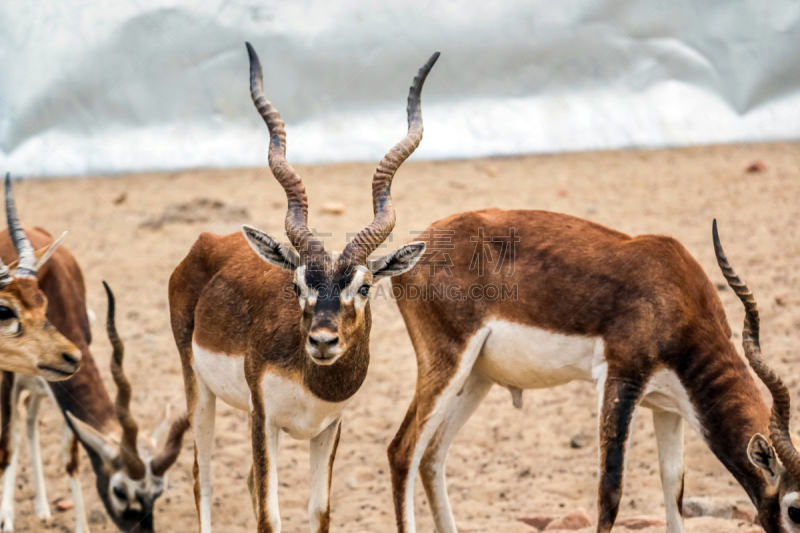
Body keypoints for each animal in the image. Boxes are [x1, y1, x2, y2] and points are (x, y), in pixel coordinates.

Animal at [0, 276, 188, 528]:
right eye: (119, 491)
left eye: (159, 492)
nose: (142, 530)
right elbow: (9, 445)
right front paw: (6, 521)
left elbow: (71, 461)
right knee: (17, 433)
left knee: (30, 421)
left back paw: (42, 507)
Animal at [166, 41, 434, 532]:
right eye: (296, 287)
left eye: (364, 287)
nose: (323, 340)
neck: (313, 382)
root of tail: (208, 240)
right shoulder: (263, 420)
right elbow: (269, 516)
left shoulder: (329, 428)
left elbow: (319, 510)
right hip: (197, 387)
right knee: (202, 477)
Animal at [386, 209, 792, 532]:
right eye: (795, 509)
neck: (674, 296)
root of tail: (414, 249)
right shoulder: (620, 379)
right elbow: (610, 491)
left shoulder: (669, 406)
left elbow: (673, 486)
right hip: (448, 364)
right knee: (403, 452)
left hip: (476, 378)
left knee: (432, 456)